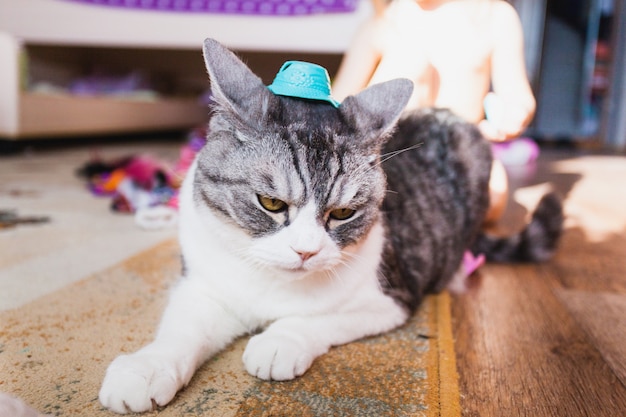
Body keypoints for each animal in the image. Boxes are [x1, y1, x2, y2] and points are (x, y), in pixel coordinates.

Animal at [97, 36, 560, 412]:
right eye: (271, 203)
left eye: (341, 213)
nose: (305, 251)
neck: (269, 286)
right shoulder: (204, 286)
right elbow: (181, 330)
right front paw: (146, 368)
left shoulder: (391, 297)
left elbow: (318, 320)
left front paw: (280, 341)